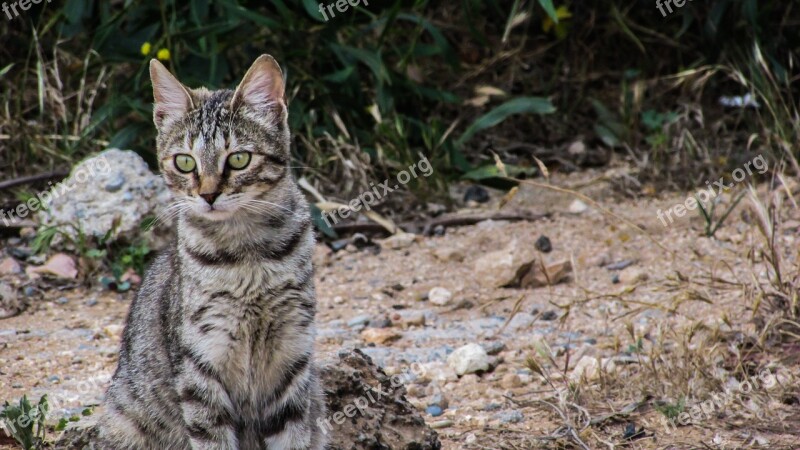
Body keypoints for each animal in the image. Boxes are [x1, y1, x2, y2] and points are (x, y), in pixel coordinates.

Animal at [95, 54, 326, 448]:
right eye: (185, 162)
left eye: (239, 159)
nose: (207, 195)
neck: (248, 257)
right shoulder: (200, 364)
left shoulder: (292, 356)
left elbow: (292, 436)